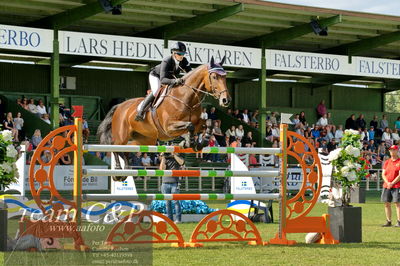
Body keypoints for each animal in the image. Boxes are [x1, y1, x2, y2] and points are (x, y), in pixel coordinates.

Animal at [96, 56, 231, 181]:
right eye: (214, 77)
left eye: (225, 77)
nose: (226, 100)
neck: (186, 97)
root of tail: (119, 106)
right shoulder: (169, 127)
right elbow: (189, 126)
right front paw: (190, 142)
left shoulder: (197, 123)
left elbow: (209, 123)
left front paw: (201, 141)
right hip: (122, 135)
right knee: (115, 147)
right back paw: (118, 172)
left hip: (144, 139)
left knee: (127, 149)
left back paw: (126, 170)